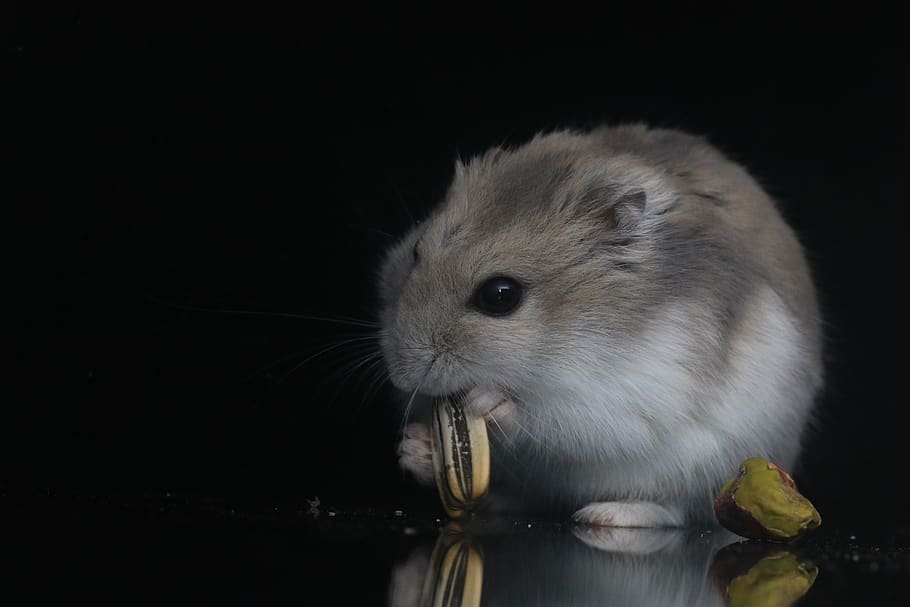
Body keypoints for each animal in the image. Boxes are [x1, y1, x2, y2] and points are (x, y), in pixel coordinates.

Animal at [377, 124, 823, 527]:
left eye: (500, 296)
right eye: (415, 253)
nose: (401, 377)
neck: (565, 332)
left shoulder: (625, 395)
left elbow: (546, 417)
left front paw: (486, 402)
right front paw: (413, 446)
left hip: (706, 467)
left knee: (670, 511)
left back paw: (606, 516)